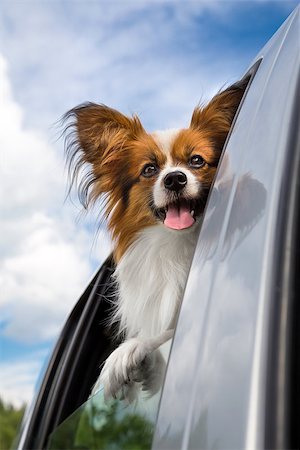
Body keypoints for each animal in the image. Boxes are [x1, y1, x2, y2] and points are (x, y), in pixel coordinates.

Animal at [64, 76, 247, 400]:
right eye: (149, 169)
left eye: (197, 161)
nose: (175, 178)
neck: (178, 243)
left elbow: (167, 333)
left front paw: (125, 353)